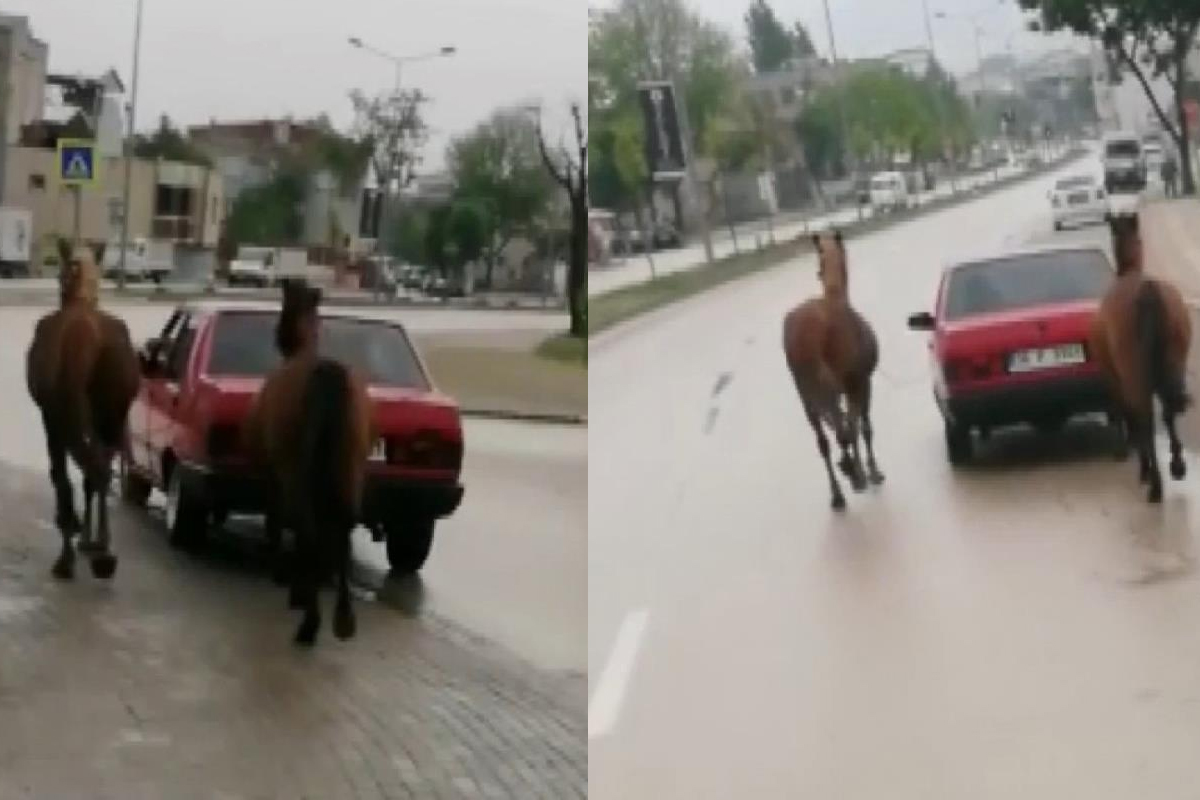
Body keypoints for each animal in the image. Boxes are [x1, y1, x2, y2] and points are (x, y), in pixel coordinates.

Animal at [26, 241, 140, 578]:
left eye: (59, 273)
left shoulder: (50, 418)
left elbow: (60, 478)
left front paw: (74, 537)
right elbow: (87, 480)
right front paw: (86, 539)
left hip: (71, 418)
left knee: (83, 470)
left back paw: (76, 554)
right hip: (113, 416)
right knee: (99, 469)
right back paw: (102, 549)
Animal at [244, 278, 372, 647]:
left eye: (287, 302)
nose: (278, 335)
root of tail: (327, 375)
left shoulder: (274, 473)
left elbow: (276, 521)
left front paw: (285, 578)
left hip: (295, 469)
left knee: (308, 526)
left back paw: (309, 621)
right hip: (349, 467)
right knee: (342, 528)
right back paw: (342, 617)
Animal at [782, 227, 888, 510]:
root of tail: (801, 337)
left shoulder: (845, 389)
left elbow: (850, 428)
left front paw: (856, 468)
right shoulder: (861, 382)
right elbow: (862, 427)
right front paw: (872, 471)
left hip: (806, 393)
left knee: (823, 441)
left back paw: (838, 492)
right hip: (828, 386)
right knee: (842, 431)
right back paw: (854, 475)